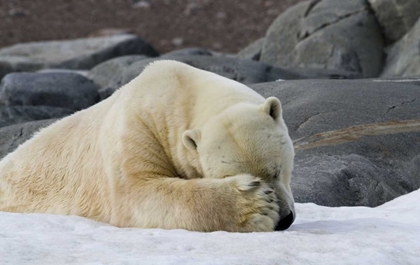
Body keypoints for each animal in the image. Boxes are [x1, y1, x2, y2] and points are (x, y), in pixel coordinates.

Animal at [0, 59, 296, 231]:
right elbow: (137, 191)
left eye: (278, 169)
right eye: (231, 175)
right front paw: (256, 205)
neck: (178, 90)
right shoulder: (138, 126)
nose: (285, 219)